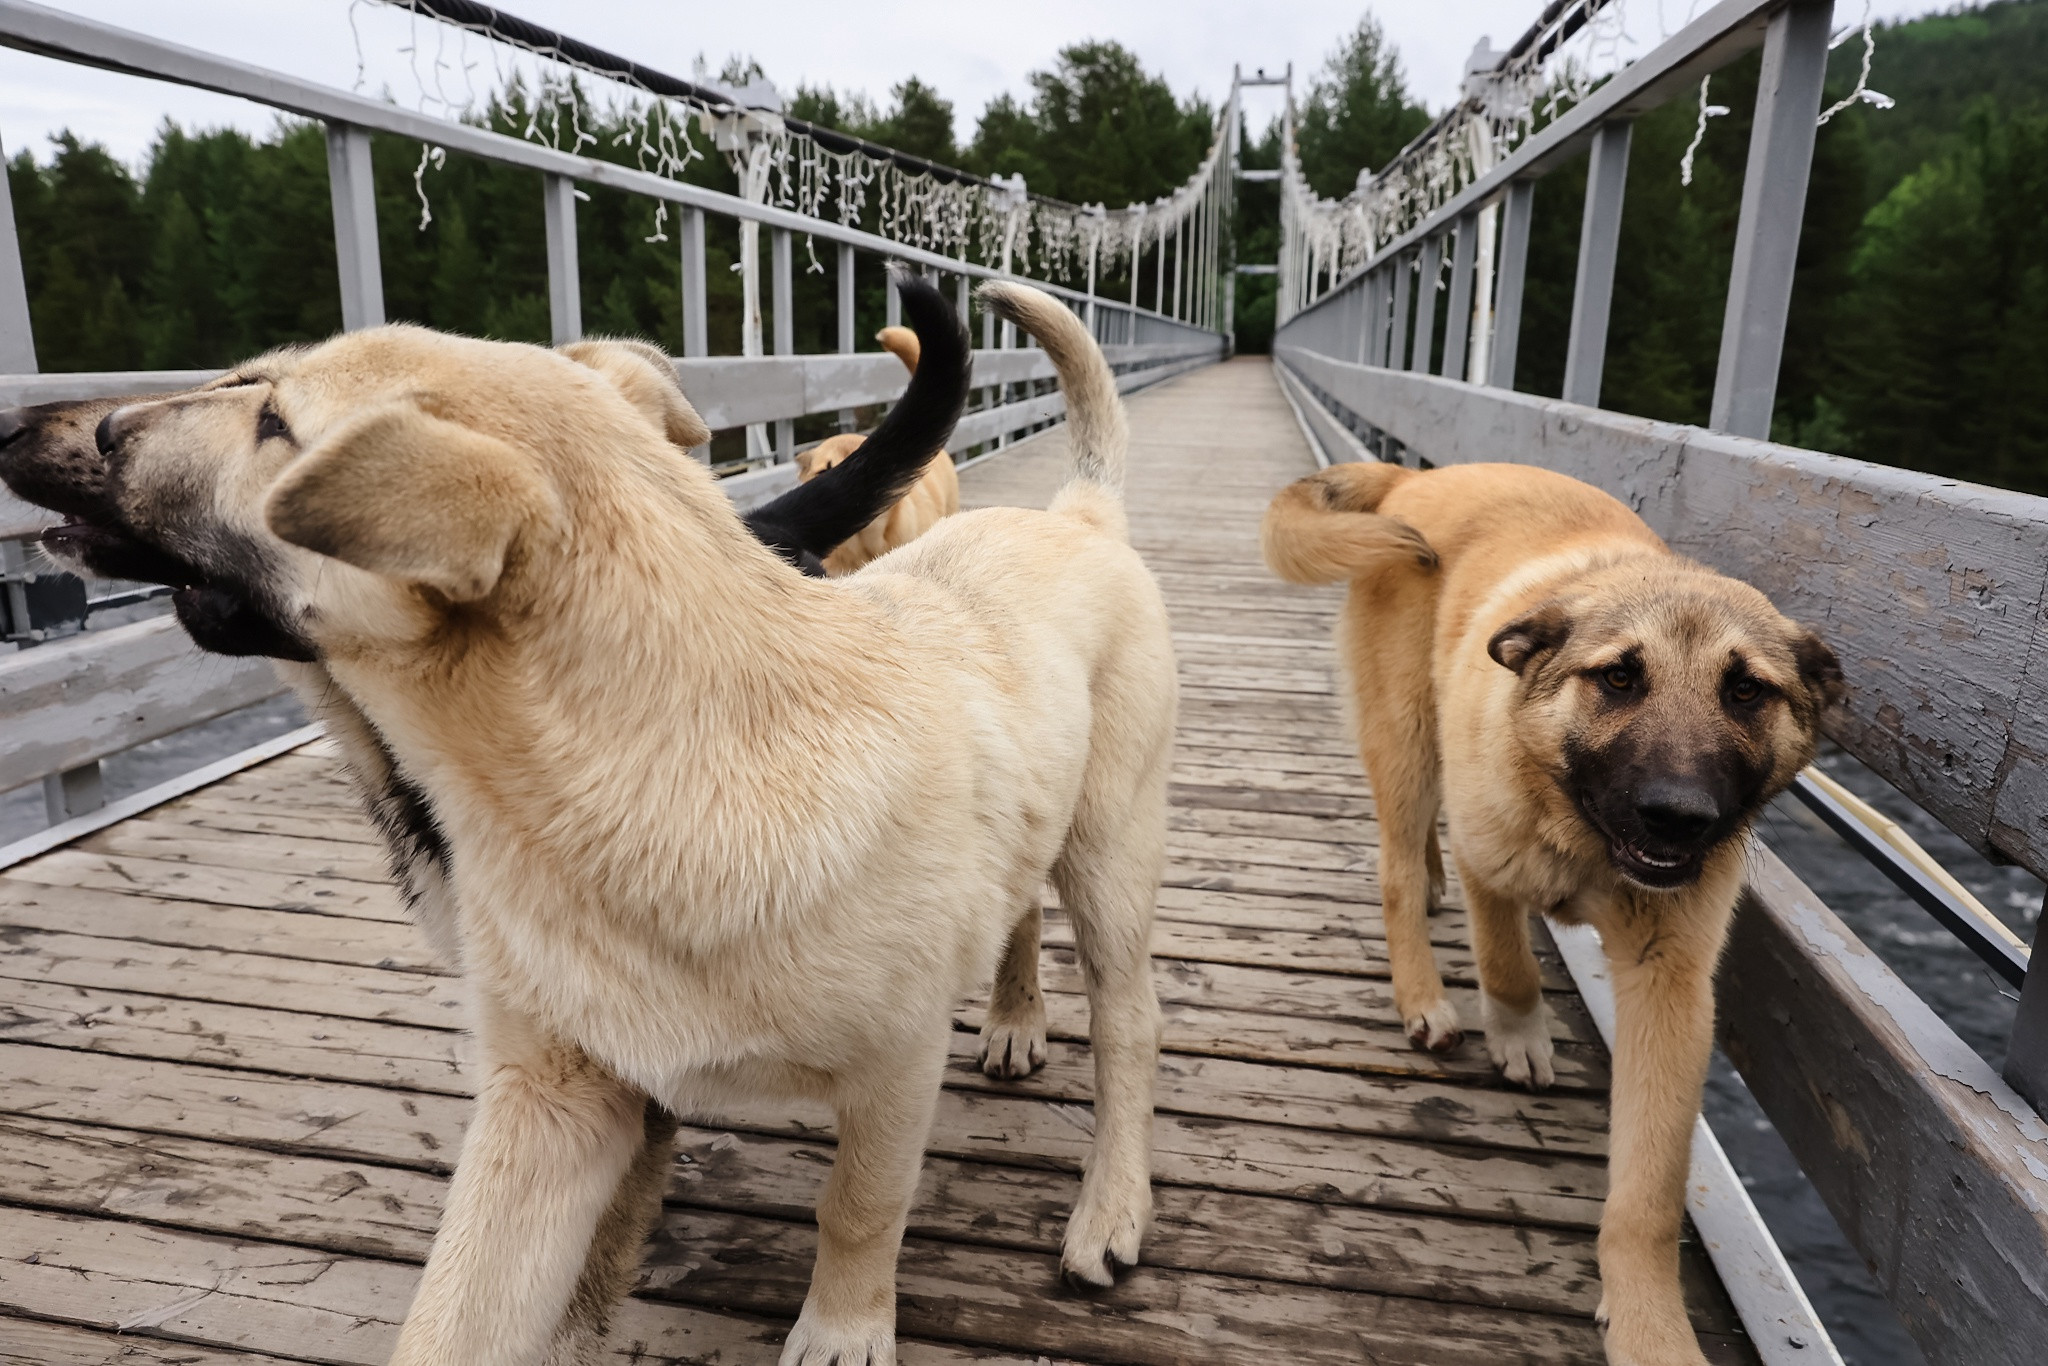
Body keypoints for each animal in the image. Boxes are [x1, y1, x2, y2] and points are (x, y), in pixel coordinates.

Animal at [1261, 462, 1843, 1366]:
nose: (1679, 817)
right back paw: (1422, 995)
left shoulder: (1671, 985)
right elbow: (1506, 960)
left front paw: (1650, 1325)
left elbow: (1649, 1188)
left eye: (1747, 689)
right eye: (1618, 678)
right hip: (1406, 739)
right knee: (1396, 868)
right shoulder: (1489, 859)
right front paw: (1520, 1034)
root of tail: (1413, 477)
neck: (1582, 828)